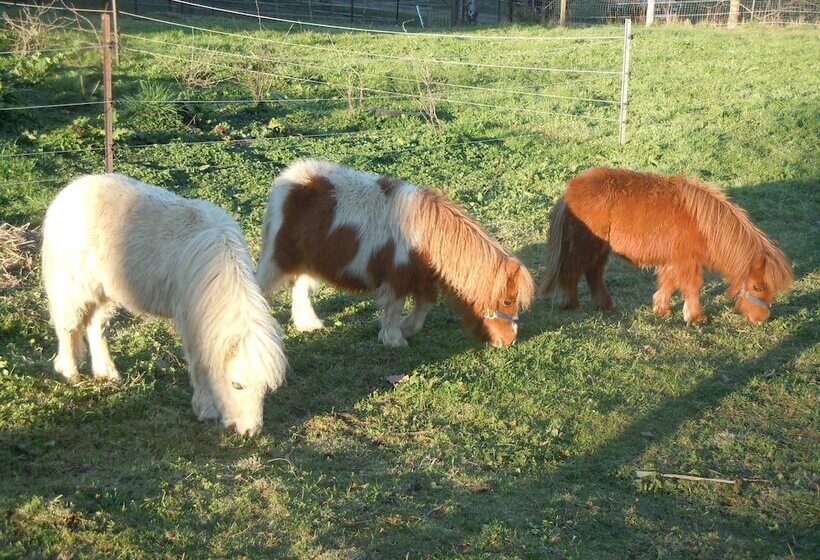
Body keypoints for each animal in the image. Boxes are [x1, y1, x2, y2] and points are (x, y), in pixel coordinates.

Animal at [42, 174, 287, 435]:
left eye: (265, 388)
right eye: (237, 385)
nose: (250, 432)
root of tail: (70, 192)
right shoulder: (191, 321)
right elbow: (199, 365)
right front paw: (206, 410)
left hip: (105, 292)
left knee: (96, 327)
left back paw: (107, 374)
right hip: (74, 287)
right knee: (68, 327)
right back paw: (69, 372)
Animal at [256, 159, 535, 348]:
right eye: (507, 301)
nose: (510, 340)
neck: (427, 234)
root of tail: (289, 177)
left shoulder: (421, 277)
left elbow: (425, 305)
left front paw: (407, 329)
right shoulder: (398, 277)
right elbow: (394, 308)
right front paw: (394, 339)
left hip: (310, 262)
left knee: (300, 288)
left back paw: (309, 325)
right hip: (277, 260)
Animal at [540, 167, 793, 325]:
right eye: (757, 287)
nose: (761, 320)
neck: (703, 224)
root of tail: (570, 190)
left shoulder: (674, 260)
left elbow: (669, 284)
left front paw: (661, 309)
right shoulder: (687, 262)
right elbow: (692, 287)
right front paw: (696, 317)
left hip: (600, 250)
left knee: (593, 273)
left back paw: (605, 305)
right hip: (586, 245)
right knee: (572, 271)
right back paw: (570, 304)